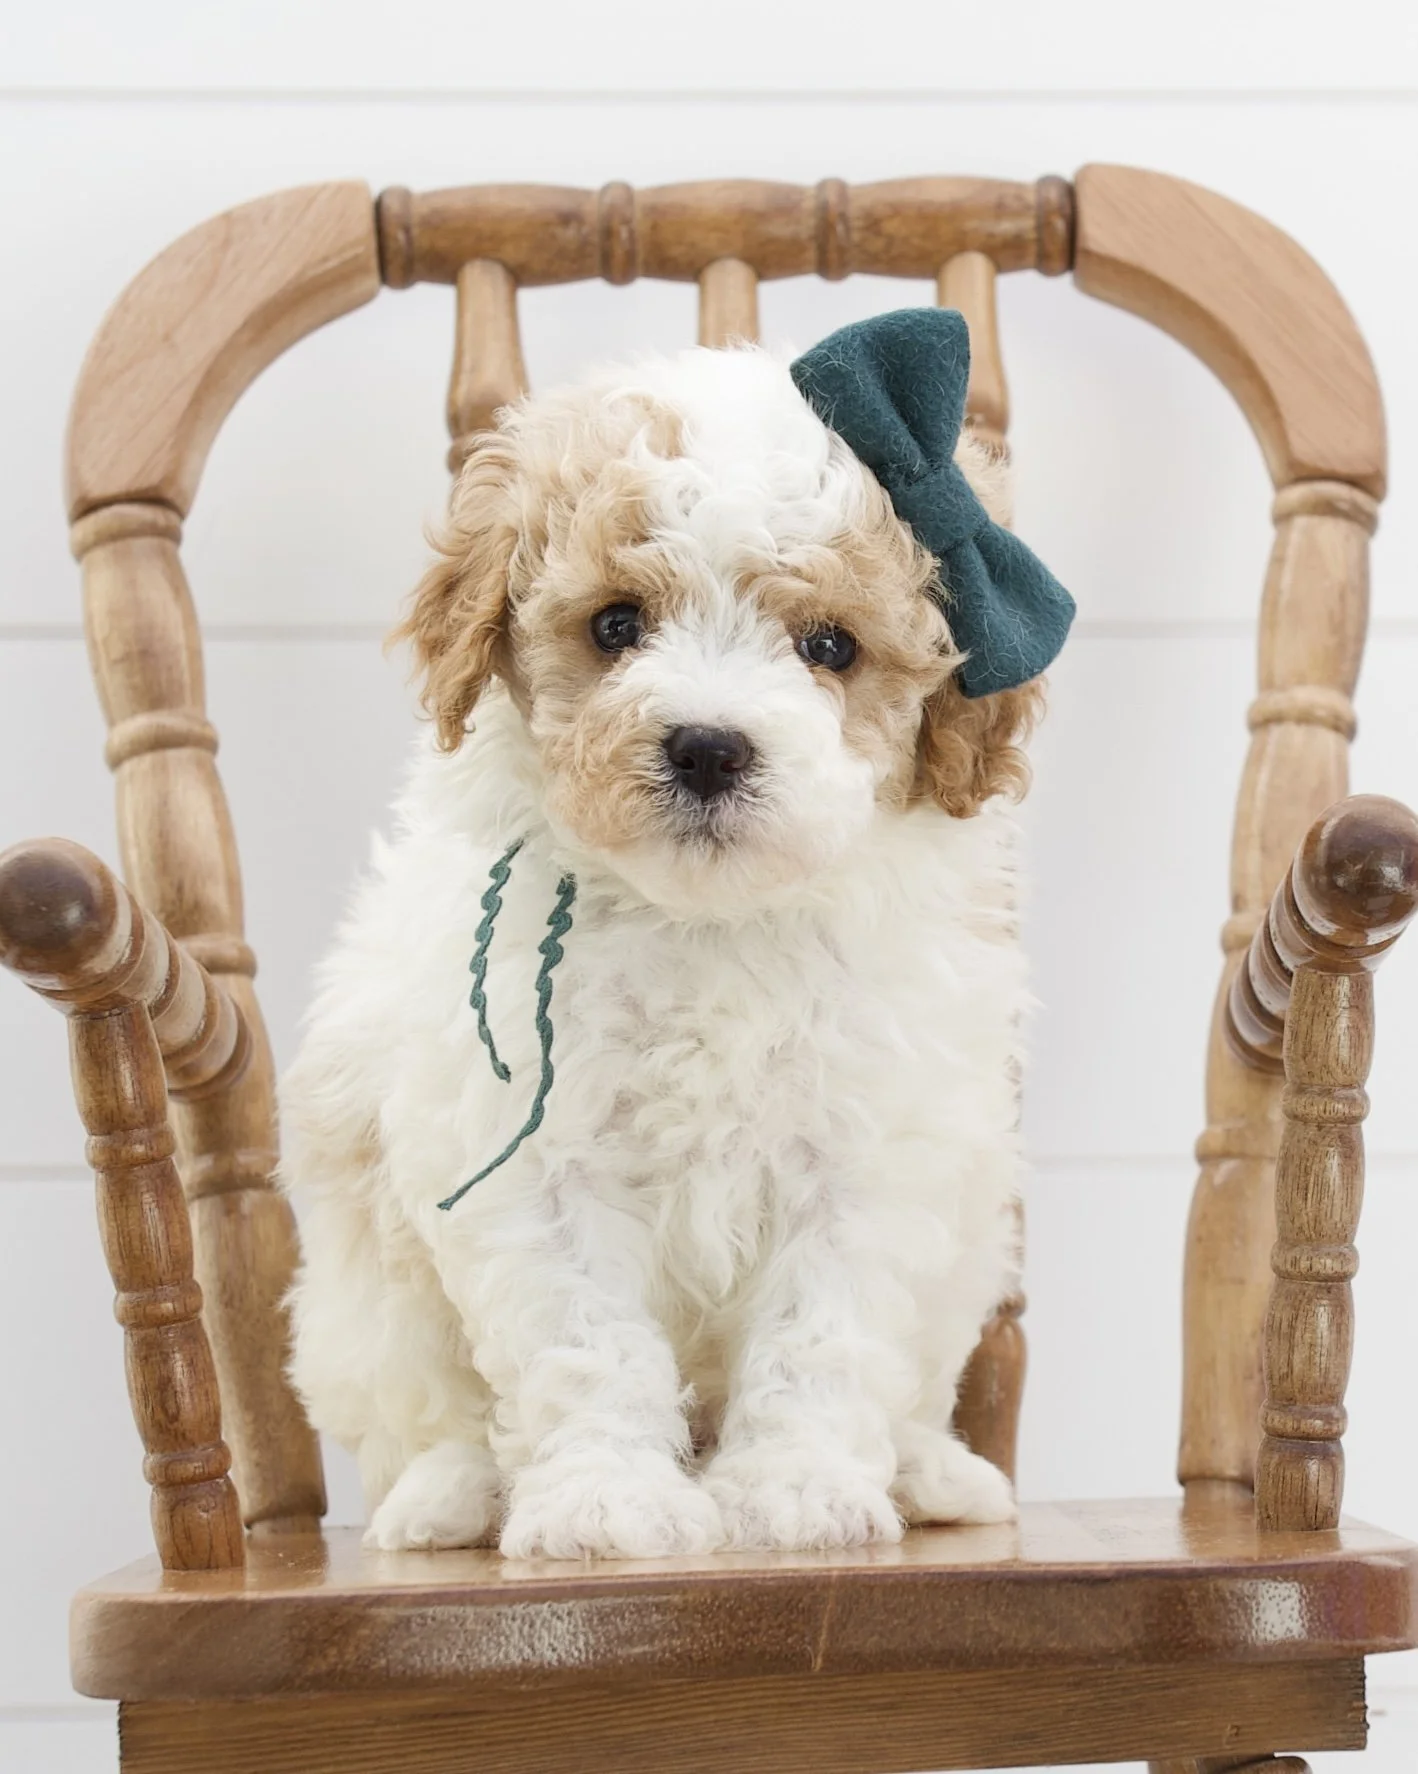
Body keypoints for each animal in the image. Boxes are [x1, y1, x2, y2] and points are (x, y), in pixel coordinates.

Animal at [280, 335, 1048, 1559]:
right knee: (421, 1414)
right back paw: (447, 1499)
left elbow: (820, 1332)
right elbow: (583, 1338)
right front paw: (605, 1501)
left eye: (830, 646)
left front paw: (794, 1488)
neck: (706, 919)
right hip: (364, 1303)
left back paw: (933, 1473)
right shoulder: (532, 1154)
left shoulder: (864, 1156)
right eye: (614, 625)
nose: (706, 747)